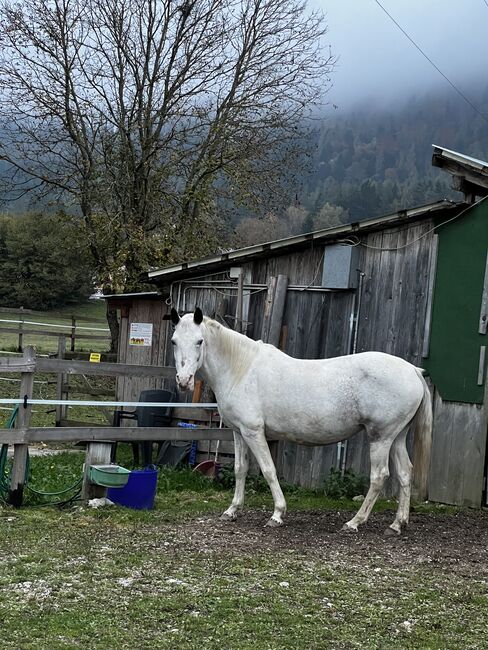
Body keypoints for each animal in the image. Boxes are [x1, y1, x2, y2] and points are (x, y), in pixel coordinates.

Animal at [170, 308, 432, 532]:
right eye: (174, 341)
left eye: (199, 341)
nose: (183, 381)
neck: (241, 369)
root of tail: (412, 370)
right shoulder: (238, 432)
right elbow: (239, 469)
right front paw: (232, 510)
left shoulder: (254, 432)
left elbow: (268, 470)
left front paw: (277, 514)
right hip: (396, 437)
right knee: (405, 473)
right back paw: (397, 524)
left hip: (381, 438)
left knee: (379, 477)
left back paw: (354, 522)